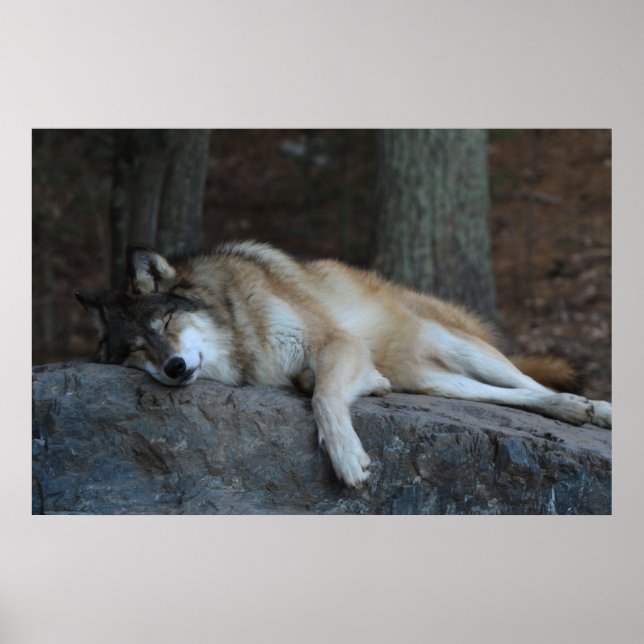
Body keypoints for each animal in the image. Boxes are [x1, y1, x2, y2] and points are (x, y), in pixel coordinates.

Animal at [76, 241, 612, 487]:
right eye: (138, 348)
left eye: (166, 321)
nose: (174, 368)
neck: (239, 326)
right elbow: (314, 385)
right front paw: (369, 387)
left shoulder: (338, 342)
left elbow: (325, 398)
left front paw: (347, 458)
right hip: (433, 382)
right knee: (512, 397)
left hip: (467, 349)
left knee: (533, 383)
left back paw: (590, 409)